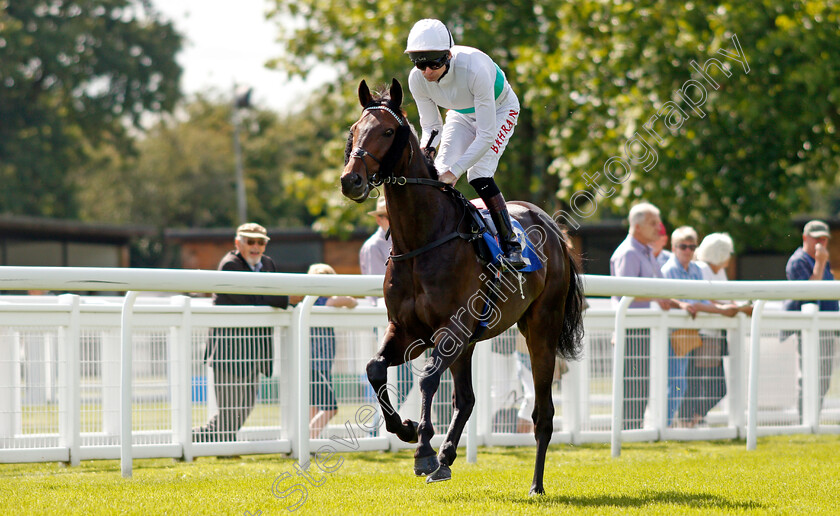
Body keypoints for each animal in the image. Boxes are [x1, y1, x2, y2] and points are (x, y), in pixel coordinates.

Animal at [338, 77, 580, 496]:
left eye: (387, 131)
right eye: (354, 129)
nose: (350, 180)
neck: (422, 240)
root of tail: (552, 227)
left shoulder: (450, 328)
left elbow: (427, 379)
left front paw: (422, 450)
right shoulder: (406, 329)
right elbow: (374, 368)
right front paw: (406, 430)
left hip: (540, 329)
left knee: (543, 413)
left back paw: (535, 483)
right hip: (469, 342)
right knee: (466, 399)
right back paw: (447, 458)